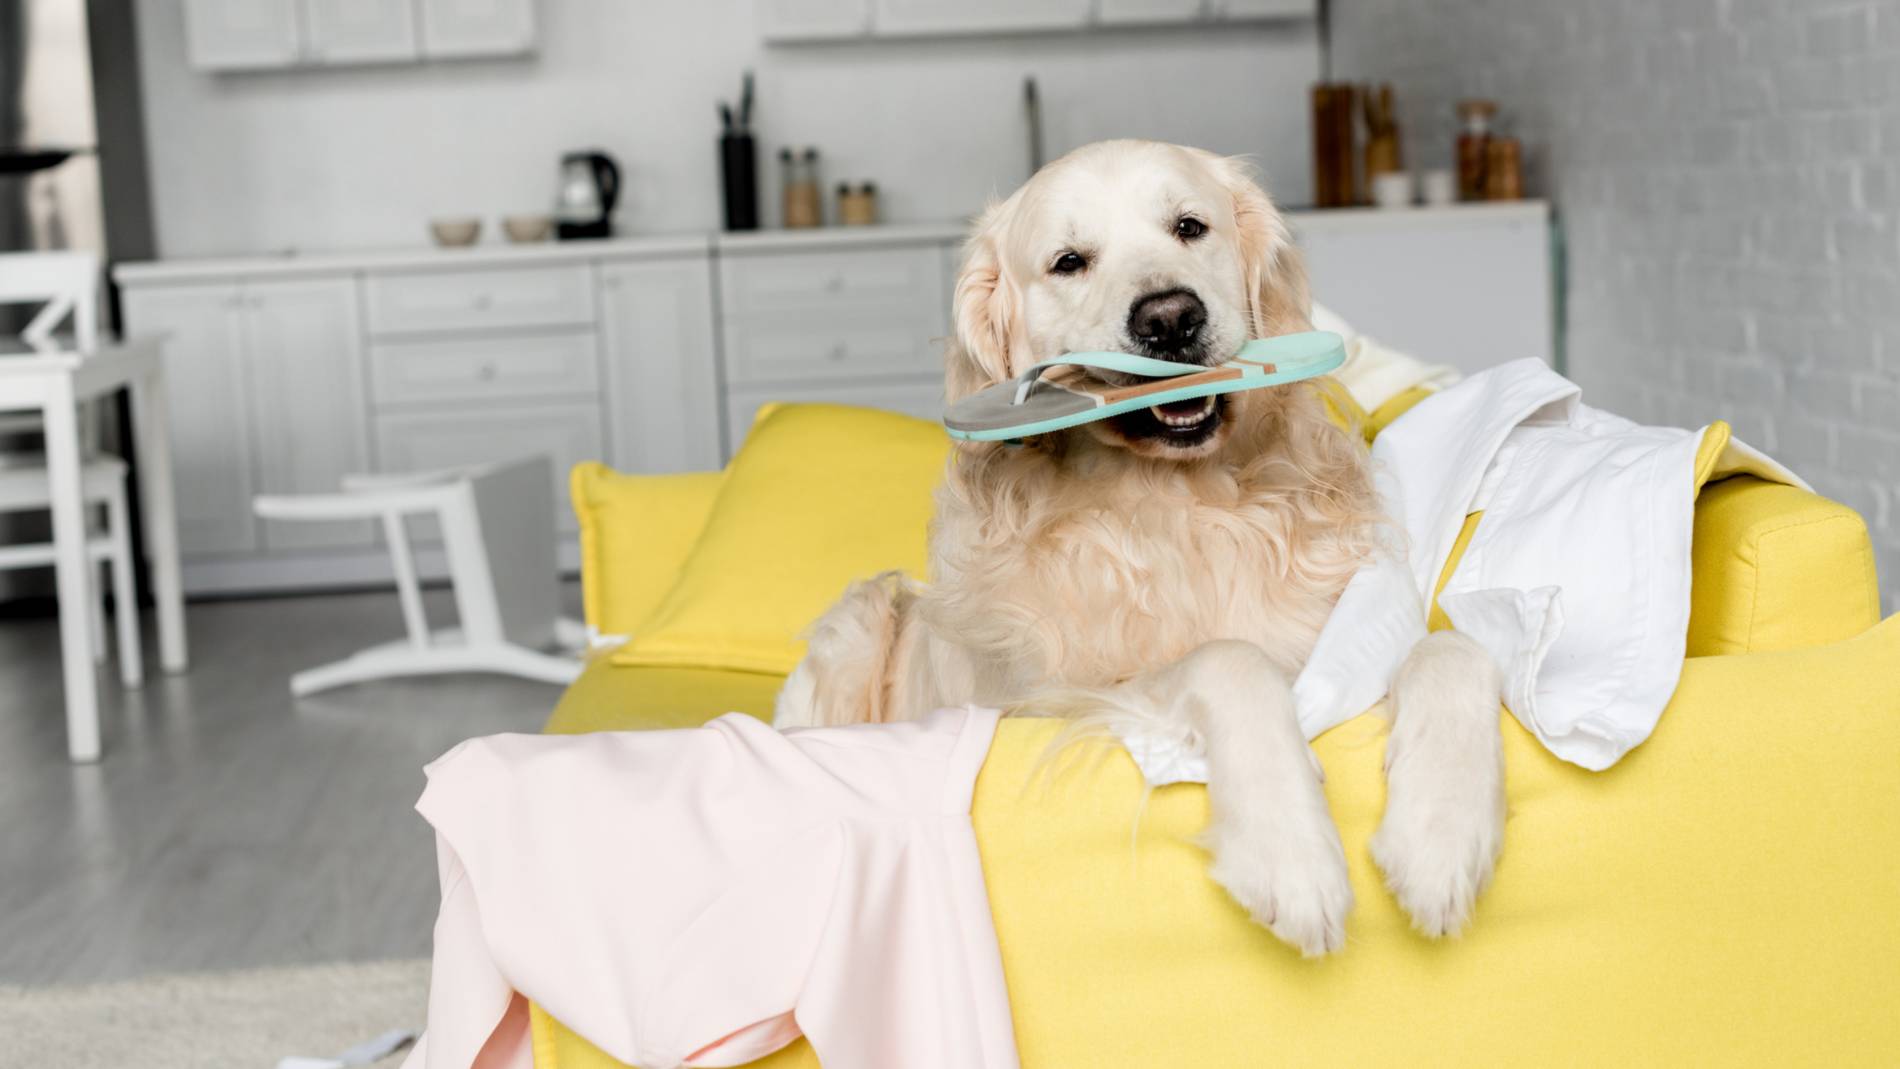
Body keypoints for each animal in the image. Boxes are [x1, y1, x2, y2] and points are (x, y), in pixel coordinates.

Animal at [771, 140, 1497, 953]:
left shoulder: (1345, 643)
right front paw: (1288, 851)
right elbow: (1229, 659)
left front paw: (1439, 834)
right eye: (1068, 262)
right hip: (862, 616)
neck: (1178, 510)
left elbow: (1453, 649)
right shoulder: (1058, 697)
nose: (1170, 318)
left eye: (1190, 226)